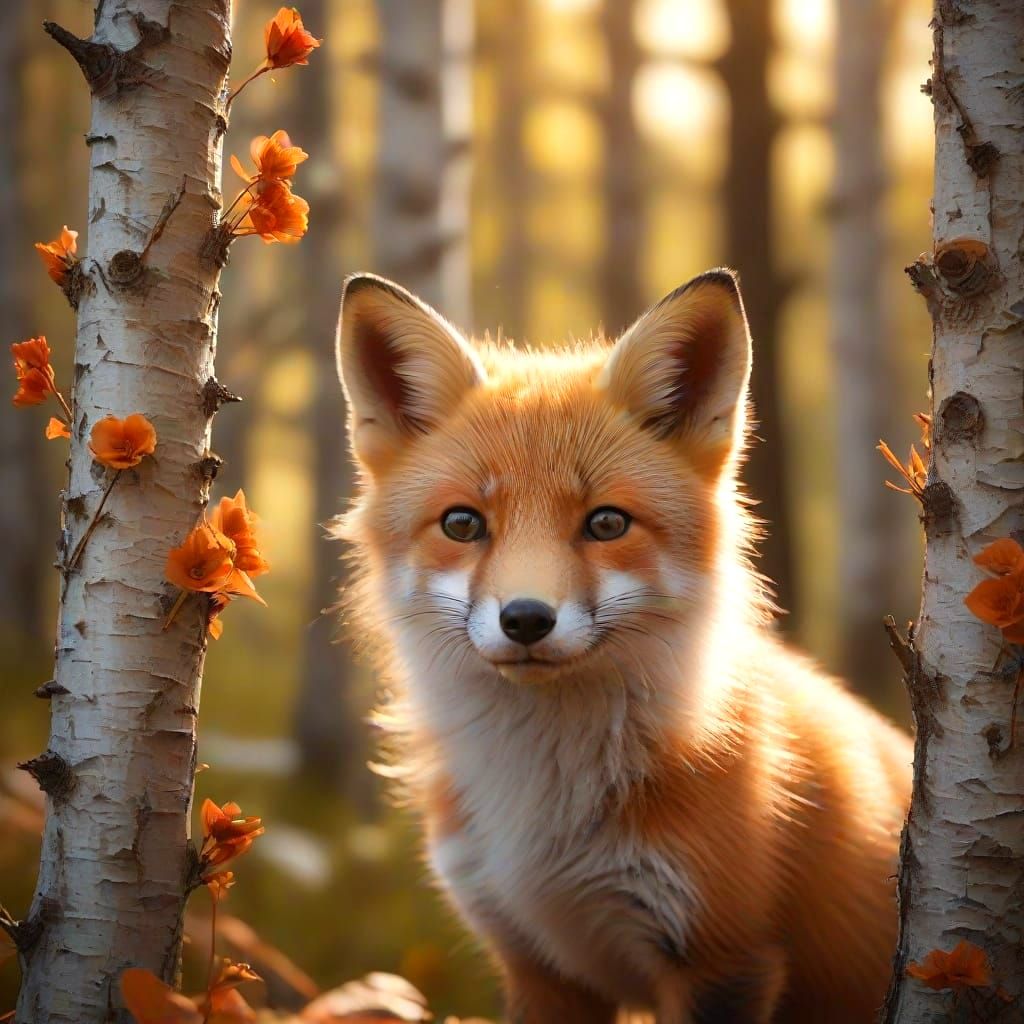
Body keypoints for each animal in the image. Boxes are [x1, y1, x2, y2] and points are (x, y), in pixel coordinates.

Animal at [334, 269, 912, 1024]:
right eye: (462, 524)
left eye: (606, 523)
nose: (526, 619)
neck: (545, 805)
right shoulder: (538, 967)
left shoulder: (725, 961)